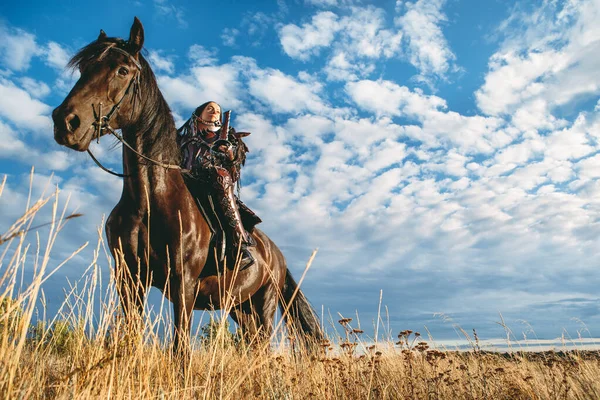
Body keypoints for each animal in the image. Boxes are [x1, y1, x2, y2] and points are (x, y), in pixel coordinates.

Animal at [51, 17, 324, 352]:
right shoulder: (129, 278)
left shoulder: (184, 284)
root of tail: (276, 254)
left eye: (123, 70)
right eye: (83, 68)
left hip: (264, 304)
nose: (65, 122)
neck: (149, 201)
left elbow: (180, 349)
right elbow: (131, 337)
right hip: (238, 307)